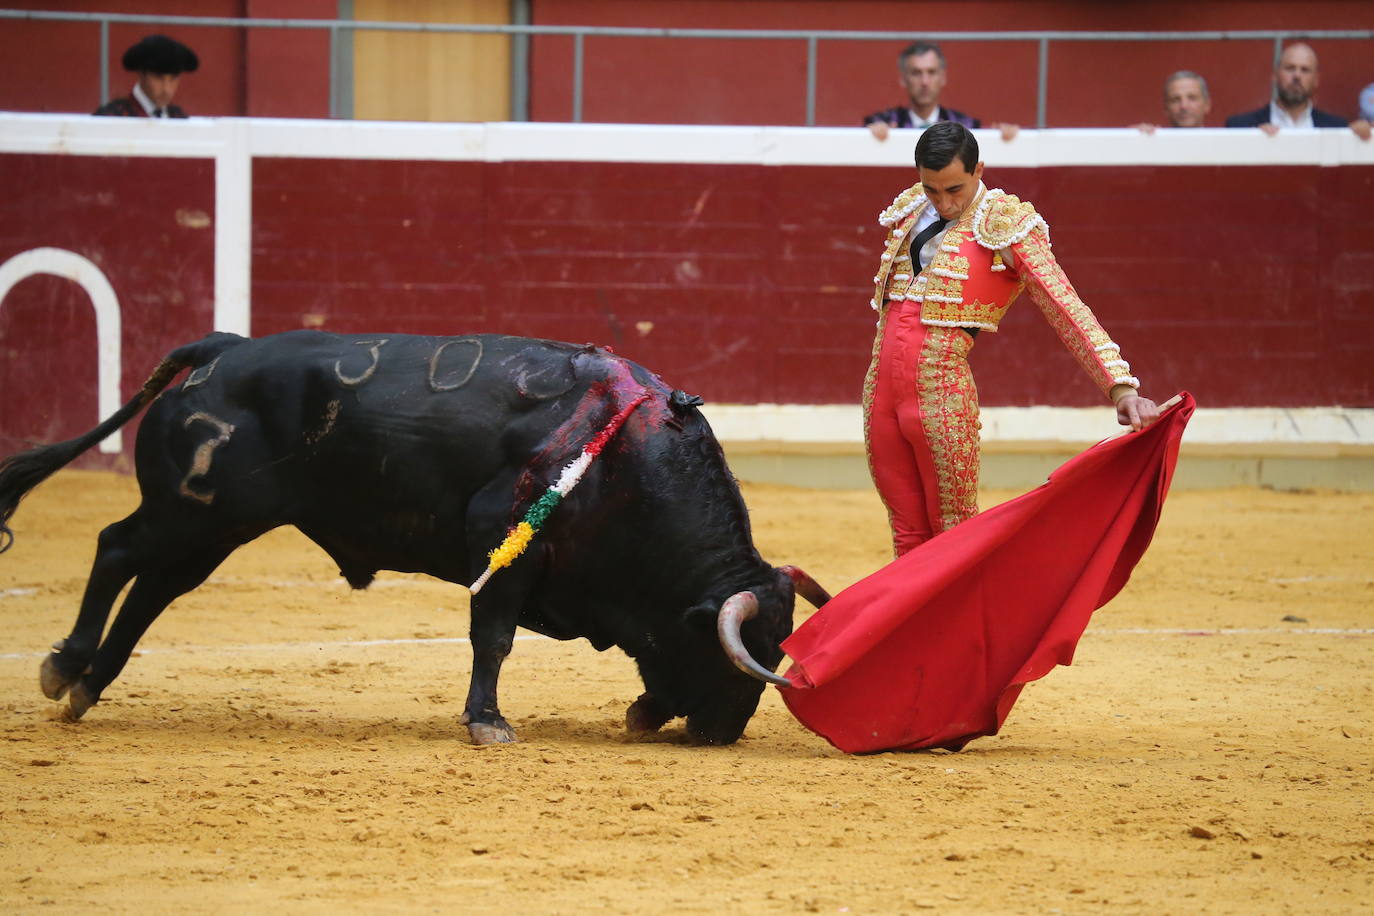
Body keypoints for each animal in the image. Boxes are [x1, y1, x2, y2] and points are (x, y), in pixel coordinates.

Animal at [0, 333, 824, 747]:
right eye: (740, 656)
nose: (724, 733)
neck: (630, 457)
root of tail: (220, 349)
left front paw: (641, 710)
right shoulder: (505, 547)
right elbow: (493, 637)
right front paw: (488, 722)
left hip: (217, 527)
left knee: (154, 590)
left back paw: (88, 686)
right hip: (189, 510)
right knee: (116, 549)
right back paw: (65, 667)